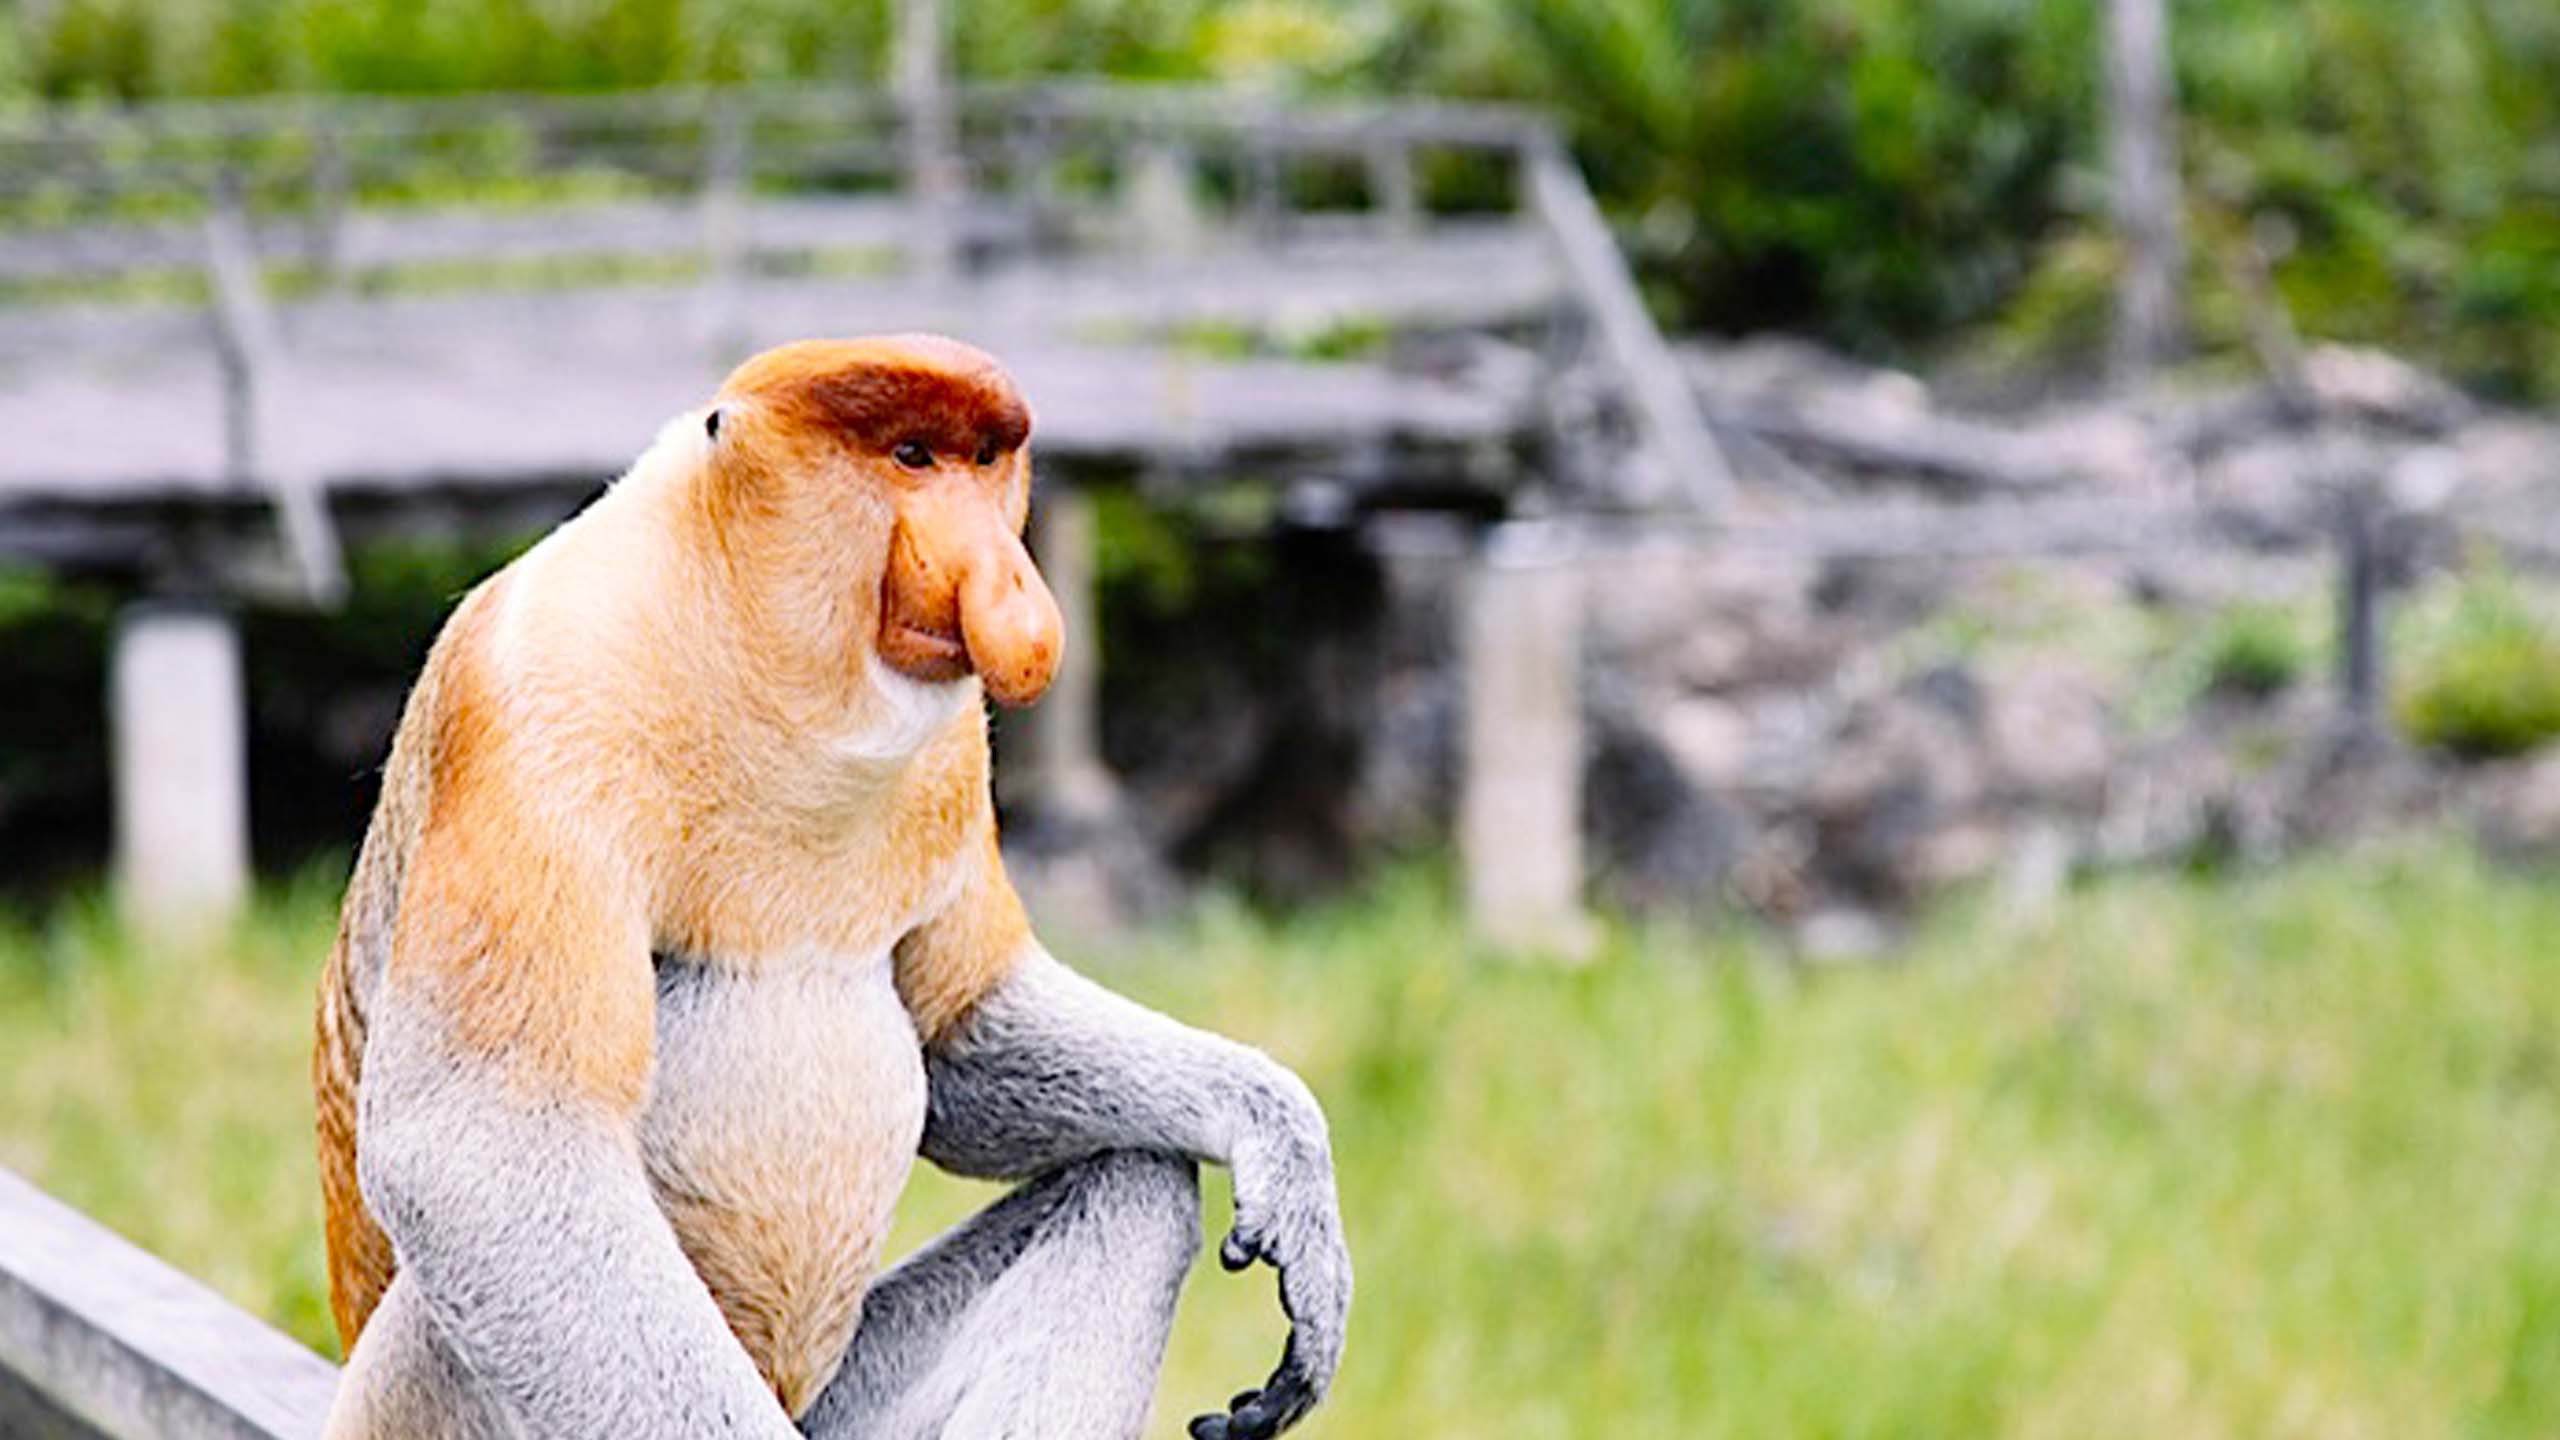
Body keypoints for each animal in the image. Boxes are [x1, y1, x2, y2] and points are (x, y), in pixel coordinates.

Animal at [310, 335, 1350, 1440]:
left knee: (1137, 1182)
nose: (1006, 579)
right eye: (910, 456)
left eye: (984, 461)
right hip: (410, 1401)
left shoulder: (950, 750)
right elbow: (482, 1140)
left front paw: (1283, 1153)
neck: (759, 655)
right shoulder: (536, 701)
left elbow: (958, 1035)